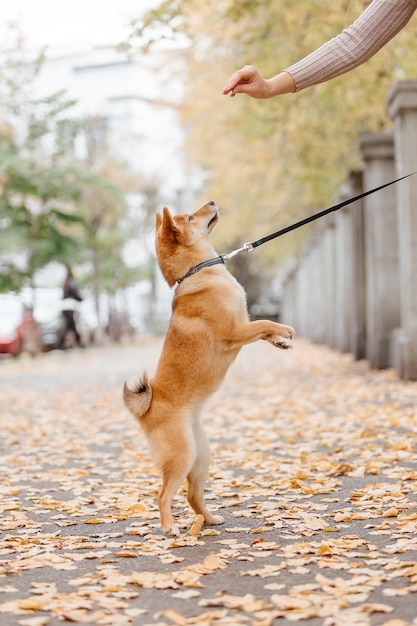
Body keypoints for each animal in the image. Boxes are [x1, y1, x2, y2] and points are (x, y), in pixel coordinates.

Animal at [122, 201, 292, 536]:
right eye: (190, 217)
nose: (211, 202)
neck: (197, 272)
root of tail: (146, 410)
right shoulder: (236, 331)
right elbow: (264, 322)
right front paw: (283, 330)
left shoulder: (242, 328)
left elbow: (264, 330)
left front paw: (279, 341)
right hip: (183, 456)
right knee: (163, 495)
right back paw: (169, 527)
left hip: (201, 457)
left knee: (192, 496)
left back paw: (210, 519)